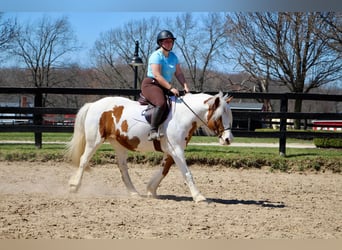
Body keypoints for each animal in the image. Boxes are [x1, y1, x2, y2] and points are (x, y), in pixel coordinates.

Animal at [65, 92, 234, 203]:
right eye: (219, 117)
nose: (228, 139)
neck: (183, 115)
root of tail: (94, 104)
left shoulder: (172, 151)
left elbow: (164, 170)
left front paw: (151, 189)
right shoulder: (177, 150)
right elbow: (187, 173)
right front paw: (199, 196)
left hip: (119, 145)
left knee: (123, 167)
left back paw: (133, 193)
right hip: (94, 141)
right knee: (84, 160)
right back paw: (74, 186)